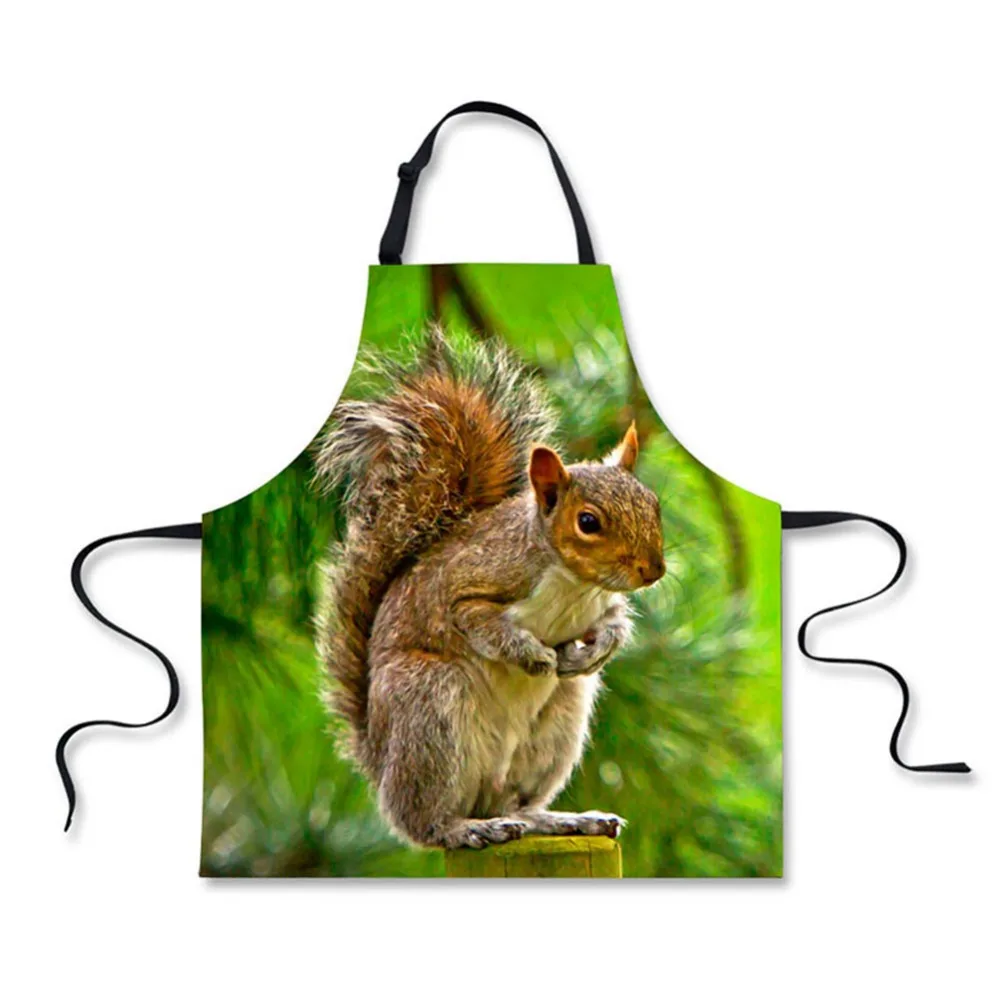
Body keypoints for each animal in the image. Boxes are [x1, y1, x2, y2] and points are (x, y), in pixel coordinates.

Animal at [315, 327, 665, 850]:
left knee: (517, 803)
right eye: (588, 522)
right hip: (428, 704)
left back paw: (558, 820)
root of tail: (377, 758)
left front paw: (594, 652)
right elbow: (479, 622)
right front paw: (533, 656)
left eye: (653, 504)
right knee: (425, 822)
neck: (573, 585)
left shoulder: (602, 603)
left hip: (556, 726)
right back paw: (464, 828)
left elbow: (615, 624)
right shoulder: (467, 586)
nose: (653, 570)